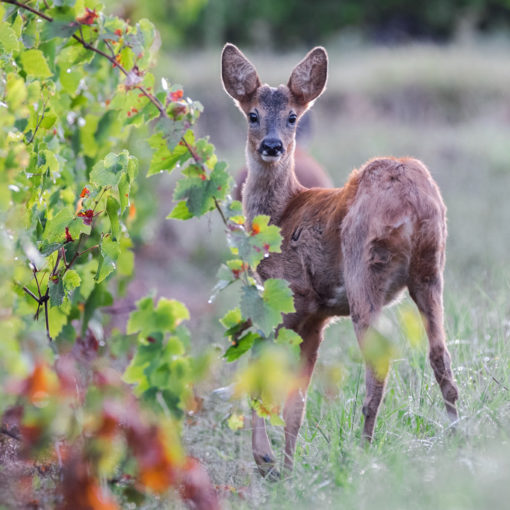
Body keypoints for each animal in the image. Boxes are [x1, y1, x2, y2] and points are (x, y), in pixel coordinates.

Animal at [221, 43, 460, 478]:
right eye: (252, 114)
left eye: (293, 116)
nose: (272, 146)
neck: (283, 214)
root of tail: (412, 199)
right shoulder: (316, 317)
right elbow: (296, 402)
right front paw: (285, 466)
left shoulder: (289, 300)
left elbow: (266, 379)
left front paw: (268, 462)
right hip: (430, 269)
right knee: (441, 356)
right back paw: (457, 436)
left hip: (364, 267)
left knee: (378, 365)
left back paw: (363, 453)